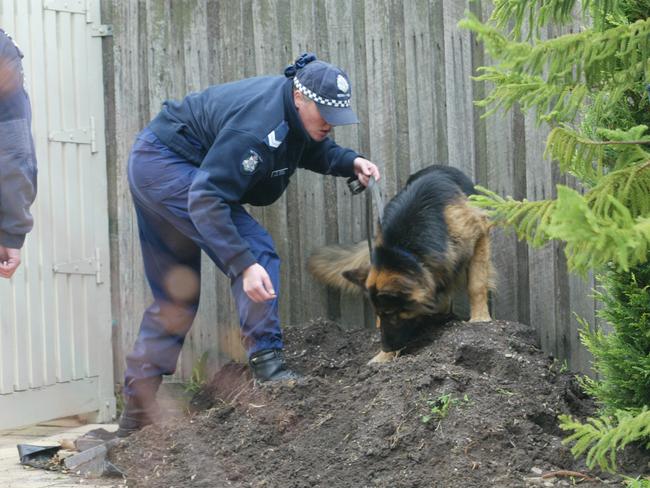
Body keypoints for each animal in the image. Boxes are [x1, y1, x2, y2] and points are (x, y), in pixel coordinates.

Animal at [306, 166, 494, 364]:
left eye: (392, 313)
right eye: (380, 313)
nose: (386, 347)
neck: (405, 251)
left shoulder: (479, 233)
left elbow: (476, 285)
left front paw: (480, 318)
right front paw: (384, 357)